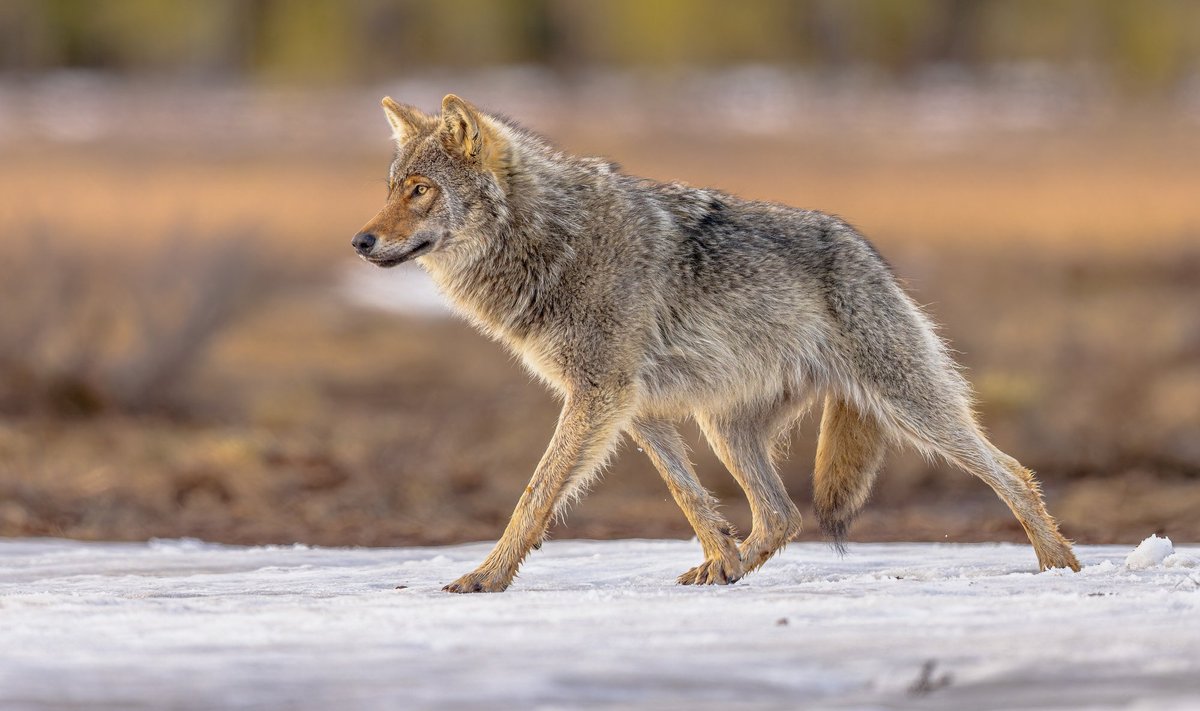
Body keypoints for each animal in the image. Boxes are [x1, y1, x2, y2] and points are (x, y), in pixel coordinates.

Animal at [350, 96, 1084, 593]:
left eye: (420, 190)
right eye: (390, 189)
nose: (360, 241)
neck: (554, 241)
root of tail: (865, 247)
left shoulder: (598, 396)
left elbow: (535, 494)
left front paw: (486, 576)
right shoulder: (632, 408)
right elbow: (689, 498)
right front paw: (720, 557)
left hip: (908, 406)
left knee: (1011, 471)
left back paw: (1060, 567)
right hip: (724, 424)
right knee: (783, 516)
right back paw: (727, 570)